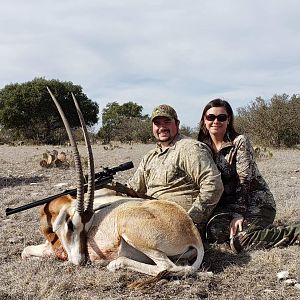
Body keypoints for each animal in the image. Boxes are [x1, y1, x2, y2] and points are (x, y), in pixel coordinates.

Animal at [21, 87, 204, 276]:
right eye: (71, 225)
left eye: (77, 226)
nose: (81, 261)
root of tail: (193, 233)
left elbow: (25, 251)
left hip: (132, 230)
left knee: (167, 266)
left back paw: (115, 263)